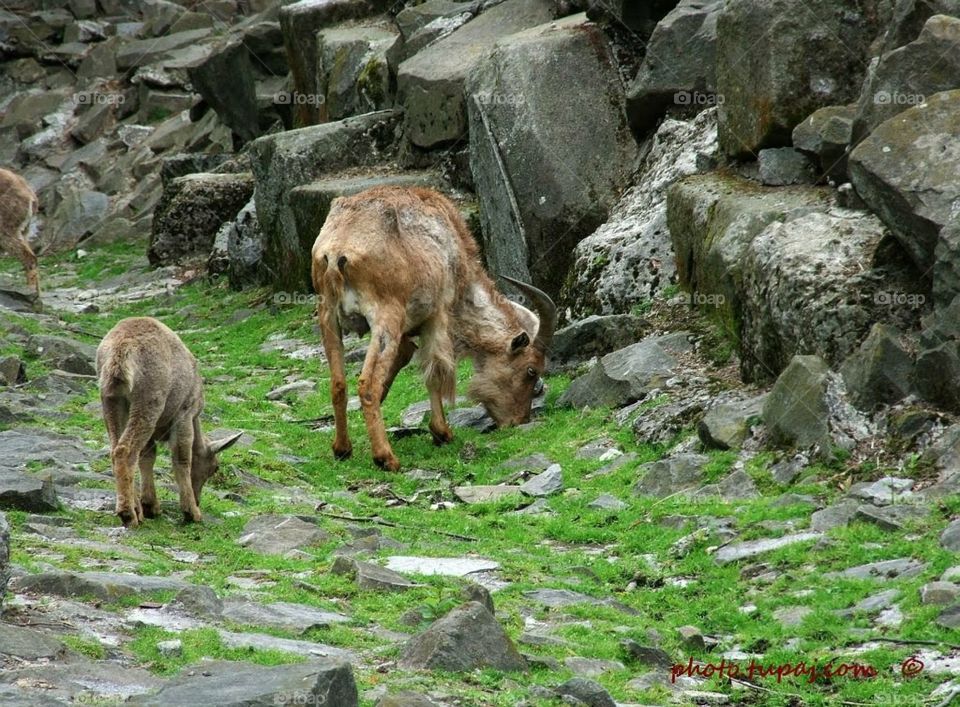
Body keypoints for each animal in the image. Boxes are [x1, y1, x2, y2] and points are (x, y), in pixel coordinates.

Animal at [96, 317, 242, 528]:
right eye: (215, 467)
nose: (198, 500)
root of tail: (120, 354)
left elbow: (148, 456)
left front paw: (150, 506)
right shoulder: (185, 412)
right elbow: (182, 457)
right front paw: (191, 512)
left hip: (110, 399)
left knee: (116, 449)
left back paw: (134, 509)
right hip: (149, 400)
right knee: (126, 450)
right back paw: (128, 514)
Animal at [311, 186, 556, 471]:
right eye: (531, 371)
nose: (518, 420)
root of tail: (337, 250)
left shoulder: (407, 331)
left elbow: (405, 355)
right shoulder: (437, 317)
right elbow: (435, 372)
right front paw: (442, 432)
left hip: (328, 315)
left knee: (338, 383)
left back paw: (342, 448)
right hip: (385, 316)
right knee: (368, 384)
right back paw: (385, 457)